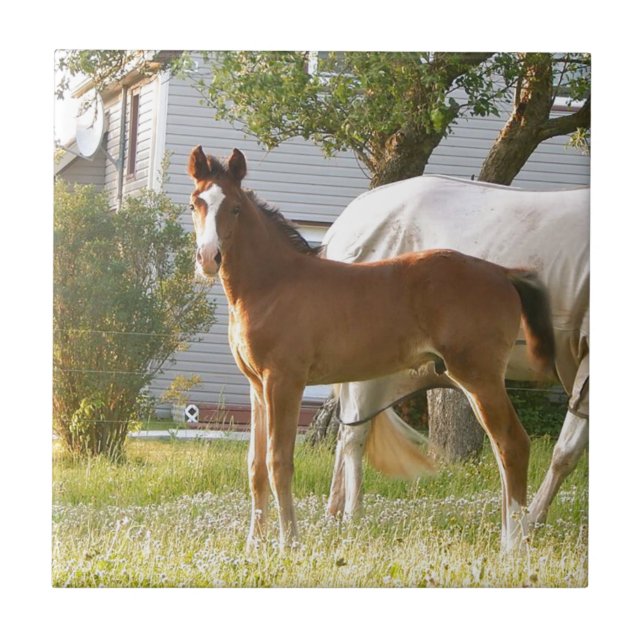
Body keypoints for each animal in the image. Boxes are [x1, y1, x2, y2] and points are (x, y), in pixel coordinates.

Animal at [187, 145, 557, 553]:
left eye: (235, 207)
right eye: (195, 203)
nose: (208, 258)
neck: (272, 284)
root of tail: (502, 273)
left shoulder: (284, 382)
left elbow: (278, 461)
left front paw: (290, 543)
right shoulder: (256, 387)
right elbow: (255, 464)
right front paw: (254, 544)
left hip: (480, 377)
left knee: (512, 444)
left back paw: (514, 547)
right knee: (501, 447)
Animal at [321, 175, 589, 530]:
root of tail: (344, 223)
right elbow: (565, 452)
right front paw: (531, 521)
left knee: (347, 432)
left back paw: (335, 514)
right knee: (354, 435)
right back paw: (351, 516)